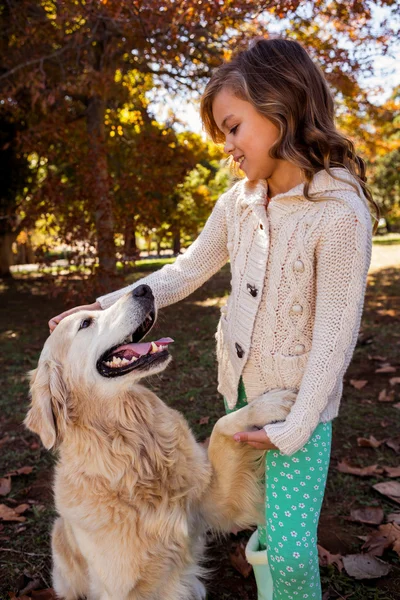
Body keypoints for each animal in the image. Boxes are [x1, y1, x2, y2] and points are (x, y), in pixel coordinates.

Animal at [25, 284, 294, 596]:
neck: (135, 449)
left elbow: (221, 427)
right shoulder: (119, 588)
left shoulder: (212, 506)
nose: (144, 288)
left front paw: (266, 405)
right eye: (85, 323)